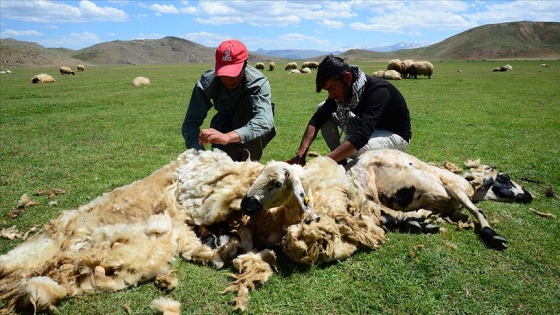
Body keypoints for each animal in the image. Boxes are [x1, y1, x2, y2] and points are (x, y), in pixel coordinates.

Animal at [346, 149, 532, 251]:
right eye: (505, 177)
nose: (529, 196)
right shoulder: (454, 187)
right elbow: (477, 210)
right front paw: (493, 235)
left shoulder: (433, 206)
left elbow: (421, 213)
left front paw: (417, 221)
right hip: (367, 183)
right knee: (380, 209)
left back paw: (419, 225)